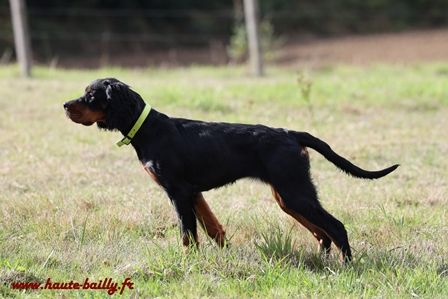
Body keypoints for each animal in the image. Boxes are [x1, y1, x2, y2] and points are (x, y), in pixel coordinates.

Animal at [64, 78, 400, 264]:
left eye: (91, 96)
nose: (65, 105)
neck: (149, 129)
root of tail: (290, 134)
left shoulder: (178, 191)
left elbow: (188, 234)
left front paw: (187, 264)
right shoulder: (193, 192)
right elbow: (211, 228)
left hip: (294, 192)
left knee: (336, 227)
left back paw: (347, 265)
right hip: (287, 196)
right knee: (322, 233)